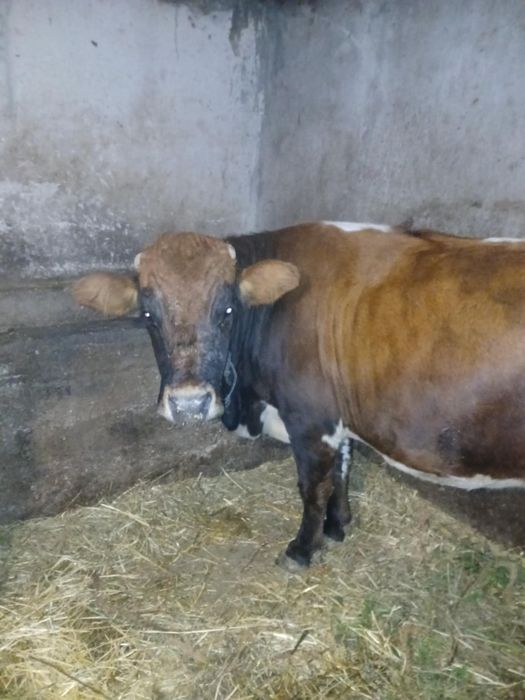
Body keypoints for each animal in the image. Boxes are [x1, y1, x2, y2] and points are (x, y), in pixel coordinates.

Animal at [73, 222, 525, 566]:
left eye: (228, 310)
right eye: (148, 315)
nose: (189, 403)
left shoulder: (310, 420)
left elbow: (313, 487)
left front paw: (302, 549)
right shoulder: (336, 416)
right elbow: (343, 469)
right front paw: (338, 525)